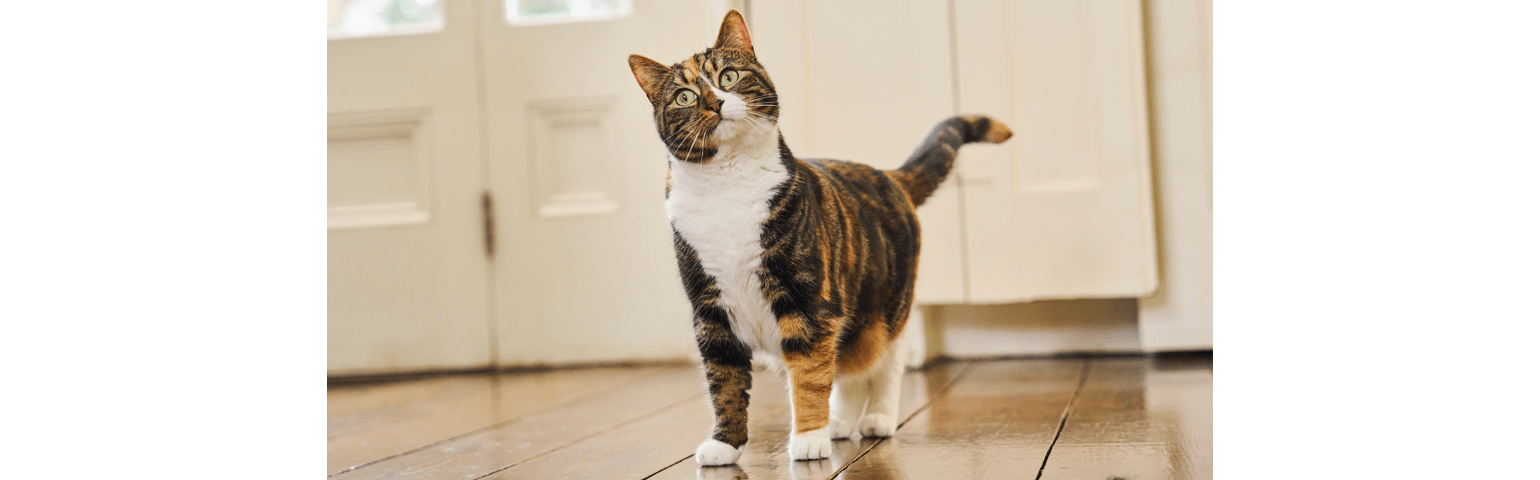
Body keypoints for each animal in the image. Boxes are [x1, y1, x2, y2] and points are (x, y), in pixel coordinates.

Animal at [625, 8, 1010, 464]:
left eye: (729, 77)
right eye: (684, 97)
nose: (715, 102)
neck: (728, 187)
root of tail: (888, 175)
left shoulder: (807, 305)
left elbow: (809, 377)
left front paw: (809, 438)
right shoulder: (711, 314)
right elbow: (725, 384)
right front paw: (725, 444)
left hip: (884, 310)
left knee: (882, 363)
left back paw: (875, 419)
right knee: (845, 370)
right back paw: (839, 423)